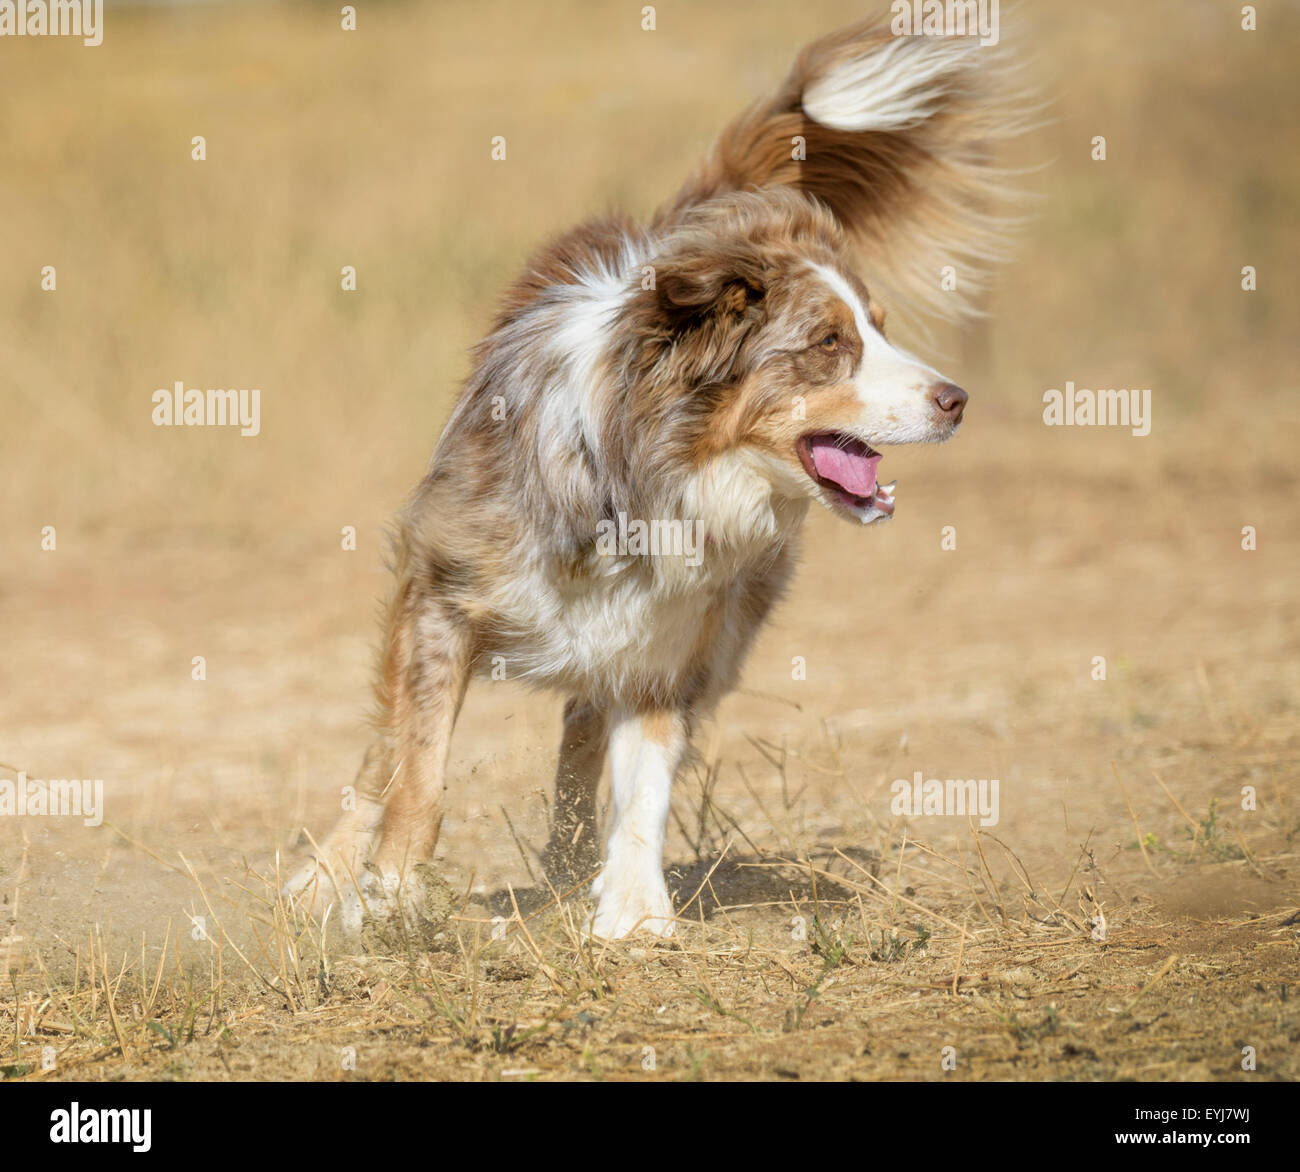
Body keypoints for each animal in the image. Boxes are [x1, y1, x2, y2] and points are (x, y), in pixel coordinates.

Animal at [284, 13, 1024, 940]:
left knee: (580, 735)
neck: (644, 478)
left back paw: (568, 869)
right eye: (829, 342)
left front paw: (632, 907)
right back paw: (327, 878)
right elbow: (417, 765)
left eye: (880, 327)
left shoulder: (678, 635)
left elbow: (646, 776)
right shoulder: (441, 588)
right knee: (384, 748)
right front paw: (388, 892)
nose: (957, 400)